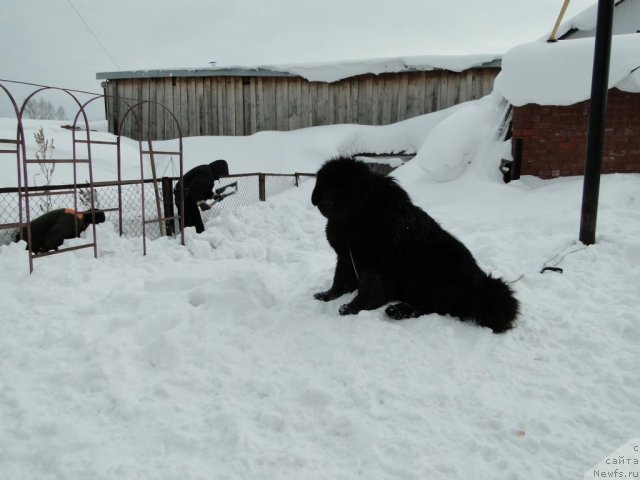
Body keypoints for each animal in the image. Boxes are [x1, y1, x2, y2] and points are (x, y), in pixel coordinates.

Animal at [312, 158, 516, 334]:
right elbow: (340, 279)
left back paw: (398, 310)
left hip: (426, 270)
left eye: (343, 188)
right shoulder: (346, 256)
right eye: (326, 186)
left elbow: (369, 289)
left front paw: (353, 308)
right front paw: (327, 295)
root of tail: (480, 288)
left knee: (434, 306)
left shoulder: (376, 263)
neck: (356, 218)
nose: (326, 203)